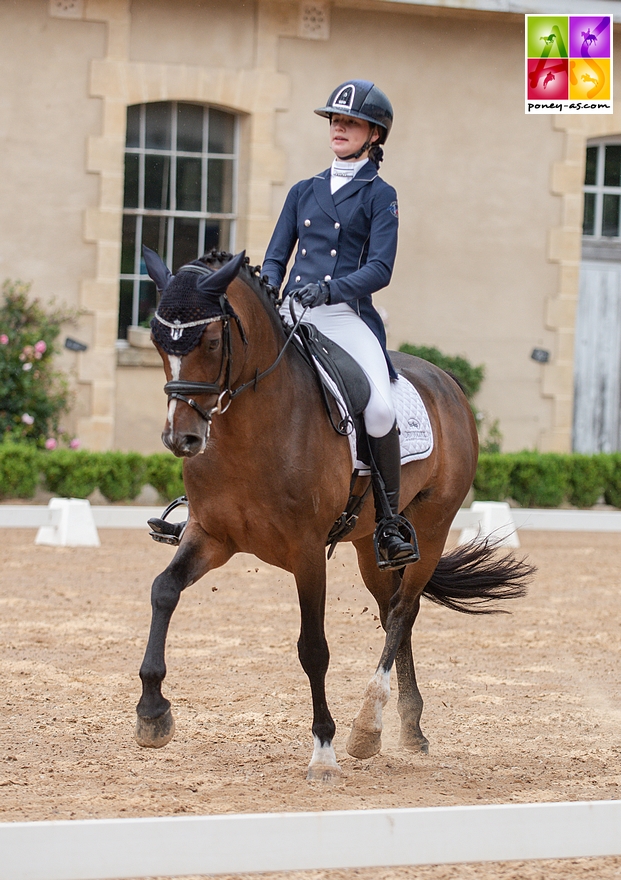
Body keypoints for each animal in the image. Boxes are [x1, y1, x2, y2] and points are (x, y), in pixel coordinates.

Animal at [134, 251, 528, 780]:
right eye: (158, 340)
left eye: (213, 341)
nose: (182, 439)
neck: (249, 429)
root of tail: (447, 382)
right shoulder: (211, 536)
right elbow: (163, 591)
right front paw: (152, 713)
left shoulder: (305, 552)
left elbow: (313, 647)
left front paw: (323, 750)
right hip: (368, 543)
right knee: (392, 609)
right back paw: (407, 726)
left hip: (433, 526)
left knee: (403, 610)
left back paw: (367, 726)